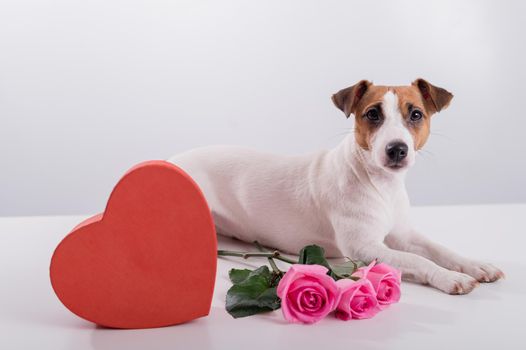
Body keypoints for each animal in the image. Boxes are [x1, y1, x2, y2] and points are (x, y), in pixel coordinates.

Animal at [171, 78, 506, 292]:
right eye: (372, 114)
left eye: (415, 114)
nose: (397, 149)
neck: (380, 185)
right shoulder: (364, 247)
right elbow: (416, 259)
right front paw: (448, 278)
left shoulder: (404, 234)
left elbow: (439, 248)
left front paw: (475, 265)